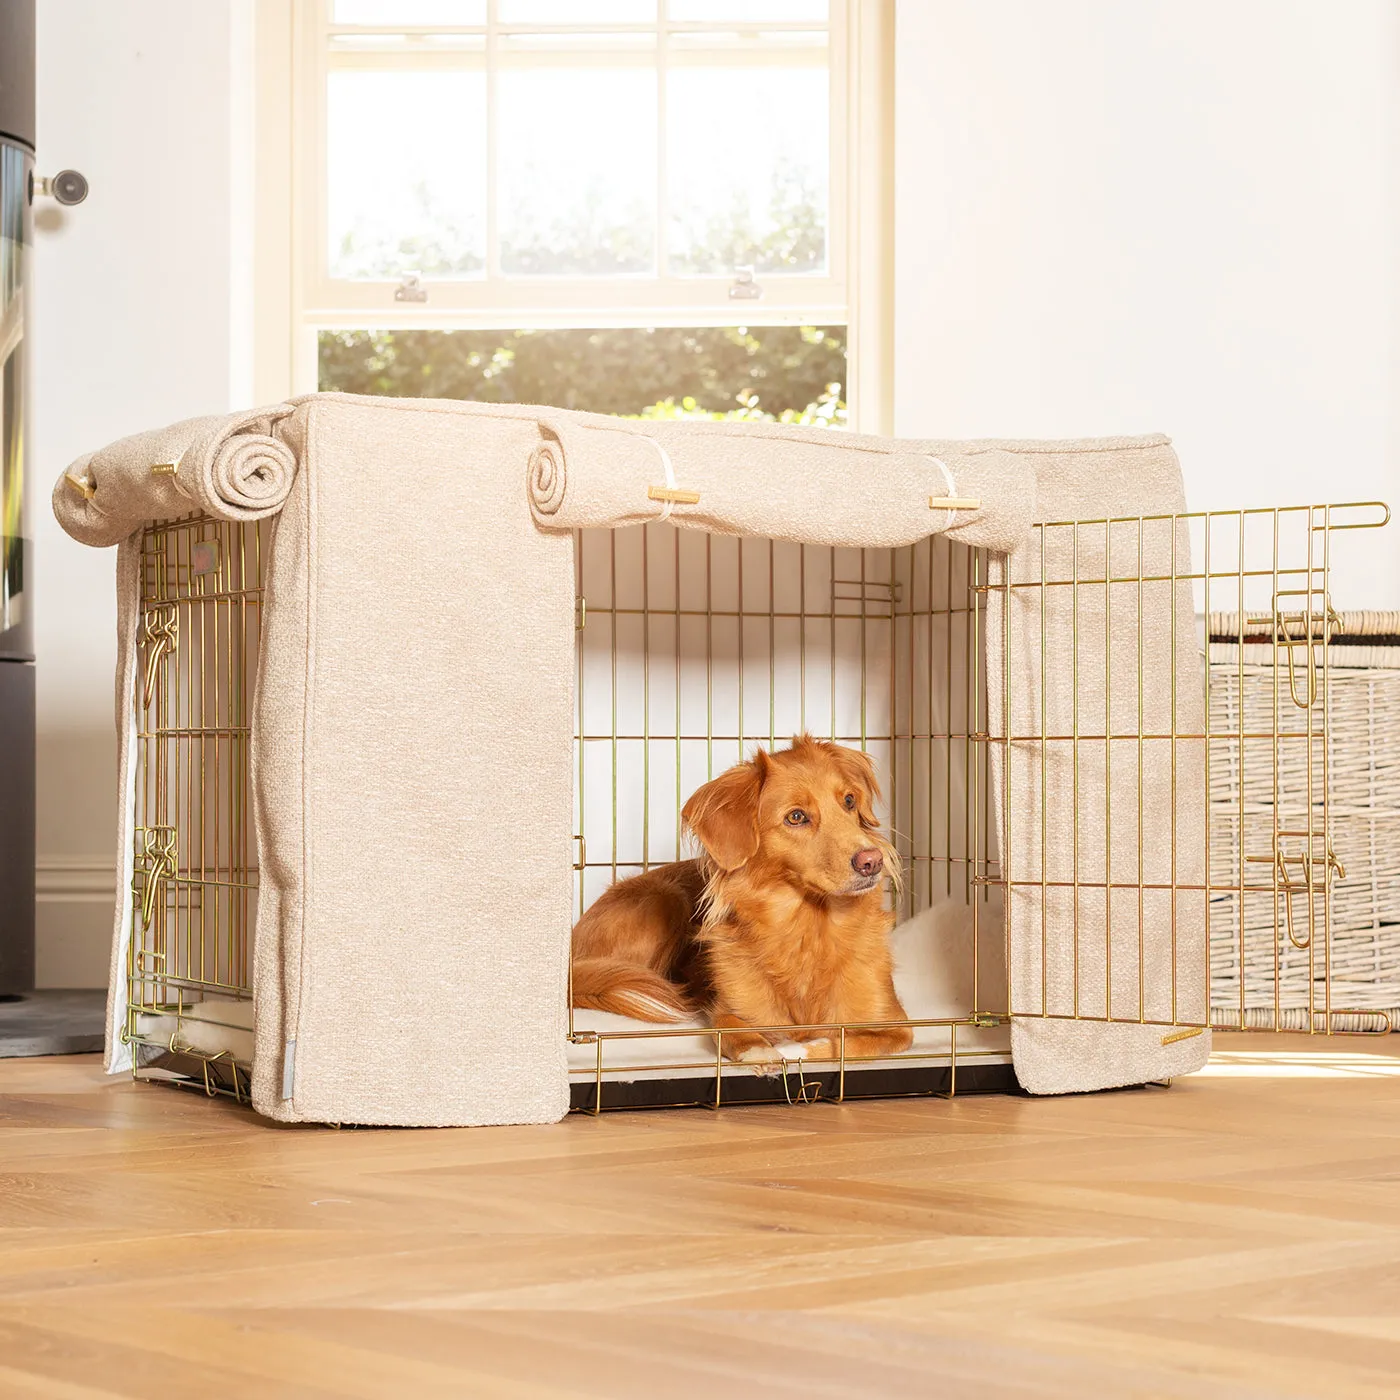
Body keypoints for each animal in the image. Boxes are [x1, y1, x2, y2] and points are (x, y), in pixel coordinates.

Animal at [571, 739, 918, 1064]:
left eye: (849, 801)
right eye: (796, 817)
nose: (872, 861)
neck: (806, 930)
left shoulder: (897, 1025)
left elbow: (845, 1043)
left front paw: (797, 1048)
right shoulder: (728, 1010)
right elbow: (735, 1034)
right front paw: (763, 1051)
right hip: (665, 901)